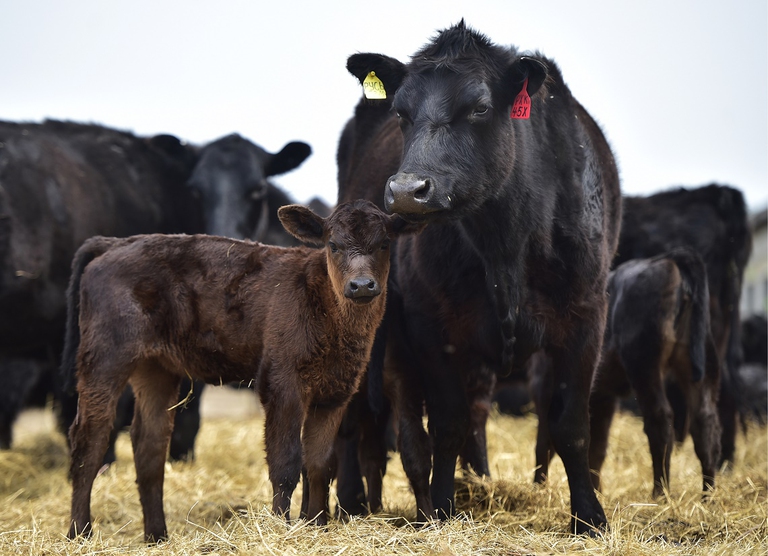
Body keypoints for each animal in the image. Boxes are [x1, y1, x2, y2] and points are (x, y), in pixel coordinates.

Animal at [63, 200, 423, 542]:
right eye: (333, 244)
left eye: (384, 243)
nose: (361, 285)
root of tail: (117, 243)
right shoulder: (282, 384)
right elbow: (285, 462)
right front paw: (281, 527)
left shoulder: (336, 392)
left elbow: (320, 463)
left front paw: (317, 525)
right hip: (104, 357)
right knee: (89, 440)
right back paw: (79, 532)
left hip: (156, 369)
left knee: (149, 444)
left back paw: (156, 536)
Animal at [337, 21, 622, 534]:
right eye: (400, 112)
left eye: (480, 108)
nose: (407, 190)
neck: (504, 239)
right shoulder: (432, 326)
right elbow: (446, 425)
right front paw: (441, 509)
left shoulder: (587, 316)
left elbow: (570, 425)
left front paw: (589, 518)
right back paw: (350, 504)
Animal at [532, 249, 721, 497]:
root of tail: (670, 258)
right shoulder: (603, 396)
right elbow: (597, 447)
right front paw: (597, 491)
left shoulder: (545, 385)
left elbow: (544, 443)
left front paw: (538, 488)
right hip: (700, 363)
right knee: (705, 422)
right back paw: (708, 495)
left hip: (644, 364)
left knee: (660, 419)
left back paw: (660, 493)